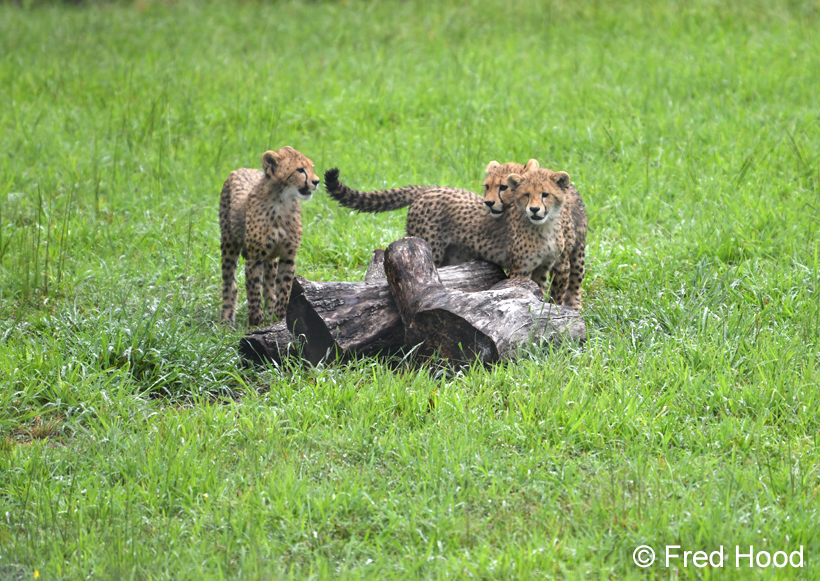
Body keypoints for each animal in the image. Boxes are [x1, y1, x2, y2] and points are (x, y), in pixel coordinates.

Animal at [219, 146, 320, 328]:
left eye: (311, 167)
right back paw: (226, 319)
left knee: (269, 285)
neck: (281, 202)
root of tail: (241, 168)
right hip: (229, 243)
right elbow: (253, 294)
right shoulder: (254, 258)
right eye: (300, 169)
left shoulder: (288, 257)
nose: (317, 181)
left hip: (271, 258)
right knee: (229, 282)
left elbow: (283, 291)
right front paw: (256, 325)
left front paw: (278, 321)